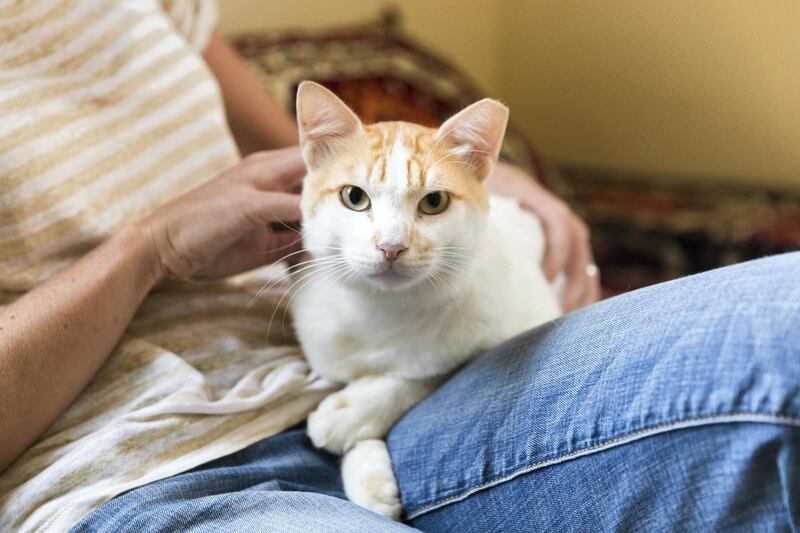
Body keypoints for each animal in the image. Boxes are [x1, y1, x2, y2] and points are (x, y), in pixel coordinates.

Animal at [290, 81, 560, 516]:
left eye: (434, 202)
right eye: (354, 197)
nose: (391, 246)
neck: (384, 311)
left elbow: (426, 373)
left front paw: (353, 413)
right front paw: (366, 469)